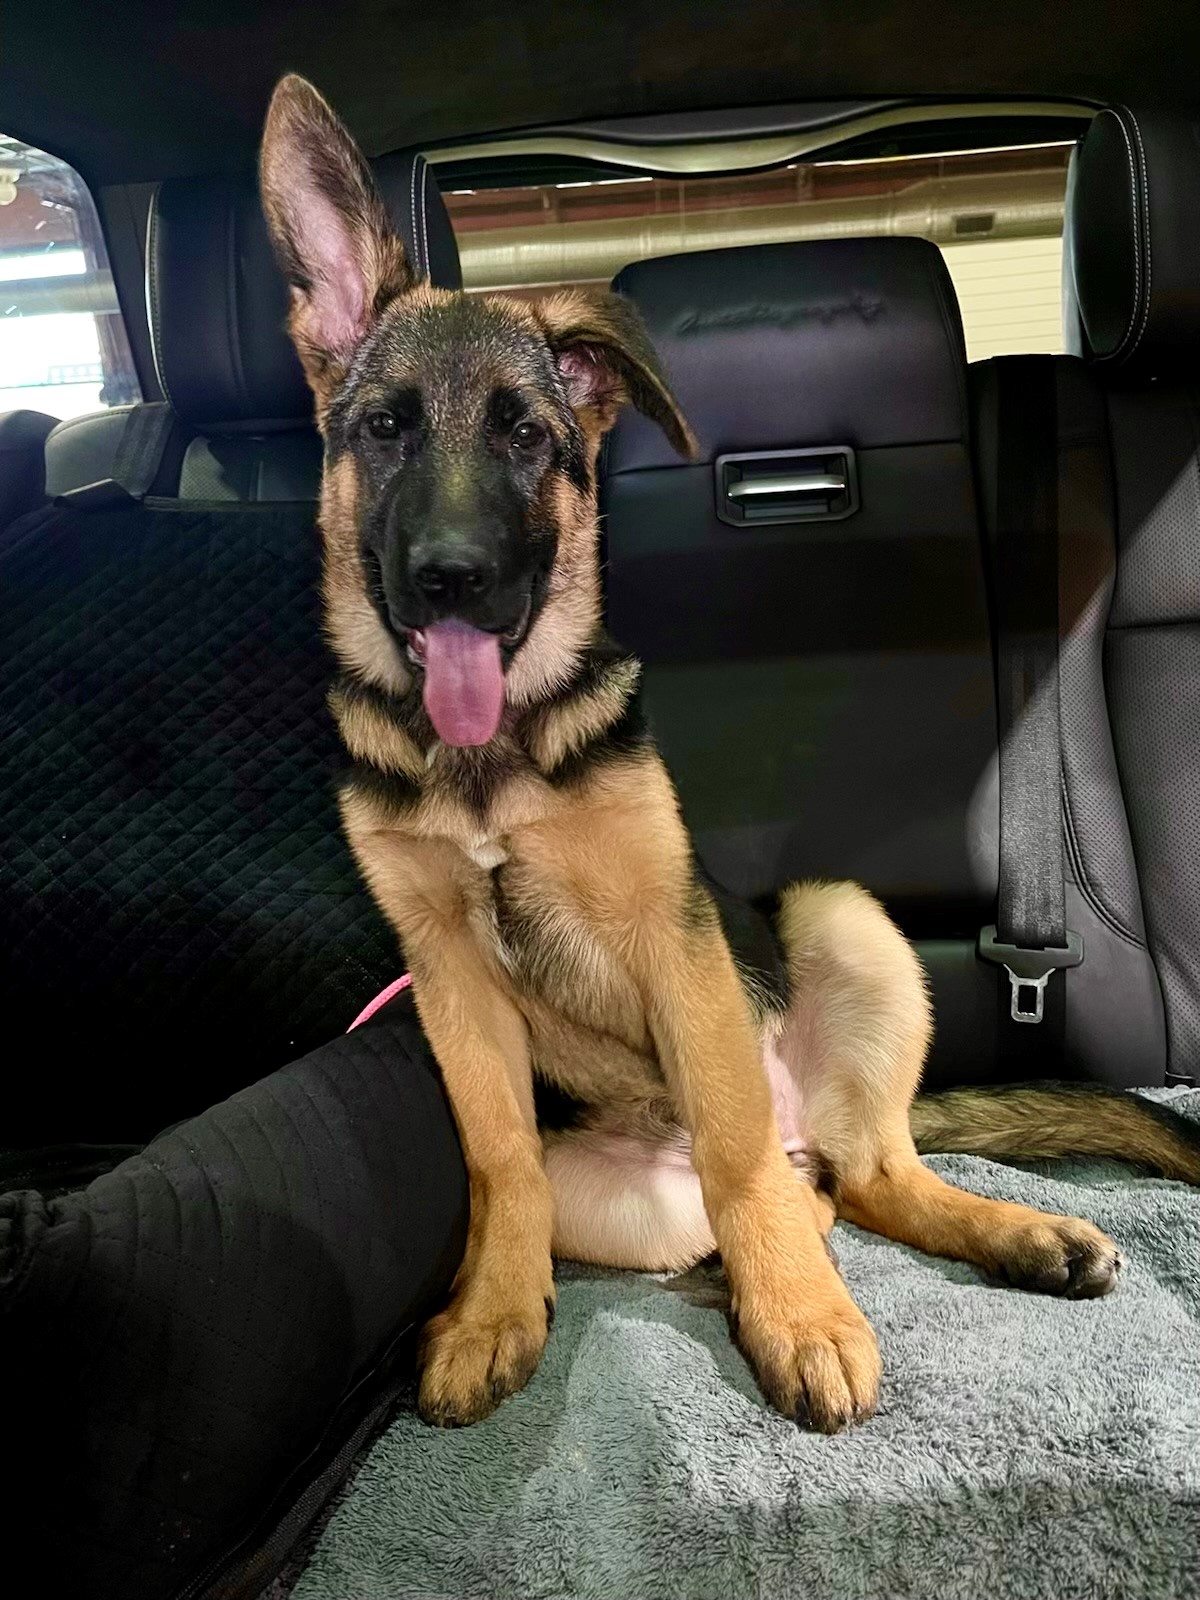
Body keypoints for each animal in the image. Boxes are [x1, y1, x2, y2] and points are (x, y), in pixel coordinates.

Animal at [262, 75, 1200, 1433]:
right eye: (384, 430)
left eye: (528, 439)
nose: (454, 579)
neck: (492, 763)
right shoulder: (445, 974)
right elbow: (498, 1158)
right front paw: (492, 1308)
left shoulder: (676, 936)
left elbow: (733, 1142)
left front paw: (799, 1317)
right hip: (629, 1198)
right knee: (821, 1188)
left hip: (843, 921)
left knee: (853, 1166)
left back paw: (992, 1239)